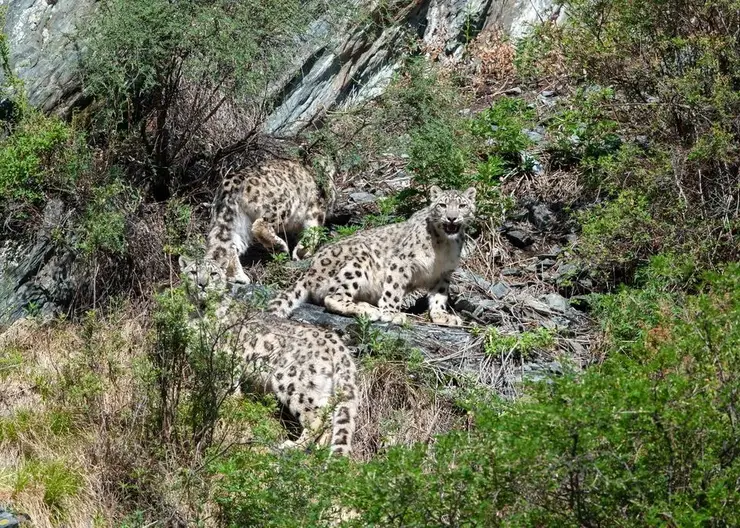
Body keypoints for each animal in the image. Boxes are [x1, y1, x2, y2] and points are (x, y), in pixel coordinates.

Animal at [204, 157, 334, 284]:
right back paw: (280, 247)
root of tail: (232, 181)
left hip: (238, 222)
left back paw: (239, 277)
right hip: (283, 205)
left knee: (229, 246)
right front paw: (303, 252)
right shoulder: (317, 208)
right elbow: (313, 230)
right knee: (260, 225)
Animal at [268, 186, 476, 326]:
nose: (451, 218)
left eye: (462, 205)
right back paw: (367, 311)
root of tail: (311, 270)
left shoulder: (444, 273)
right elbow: (394, 288)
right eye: (442, 204)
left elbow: (439, 296)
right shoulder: (402, 262)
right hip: (358, 261)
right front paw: (391, 313)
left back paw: (368, 307)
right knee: (332, 297)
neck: (444, 246)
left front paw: (442, 316)